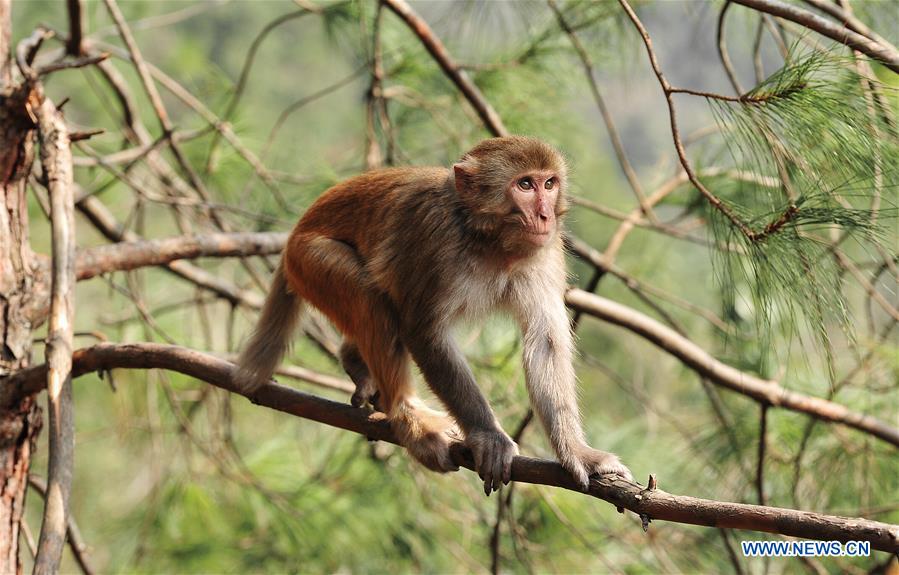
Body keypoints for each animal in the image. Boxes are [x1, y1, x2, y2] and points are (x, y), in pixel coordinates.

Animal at [237, 136, 632, 496]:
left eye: (549, 184)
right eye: (524, 185)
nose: (546, 215)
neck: (487, 240)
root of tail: (294, 234)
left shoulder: (545, 252)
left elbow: (545, 342)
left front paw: (577, 452)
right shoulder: (434, 243)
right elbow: (424, 333)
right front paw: (488, 435)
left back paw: (356, 362)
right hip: (311, 262)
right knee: (369, 296)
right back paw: (408, 417)